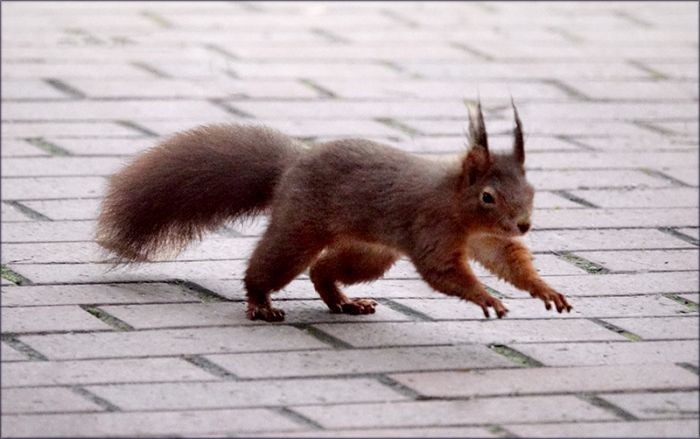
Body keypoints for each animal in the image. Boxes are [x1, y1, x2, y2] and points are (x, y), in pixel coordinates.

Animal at [97, 101, 572, 322]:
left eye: (531, 188)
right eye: (488, 196)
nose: (524, 225)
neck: (458, 206)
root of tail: (292, 165)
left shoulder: (489, 240)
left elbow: (508, 262)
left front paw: (544, 288)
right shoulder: (431, 229)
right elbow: (444, 272)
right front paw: (485, 297)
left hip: (370, 253)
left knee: (323, 271)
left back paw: (346, 301)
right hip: (300, 228)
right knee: (273, 267)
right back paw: (261, 303)